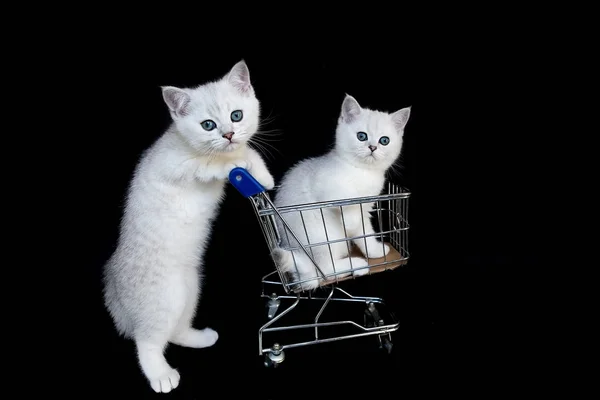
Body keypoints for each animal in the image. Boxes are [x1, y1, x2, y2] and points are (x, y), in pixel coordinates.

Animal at [102, 60, 274, 394]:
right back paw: (160, 375)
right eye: (207, 125)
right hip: (163, 298)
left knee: (175, 330)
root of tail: (114, 282)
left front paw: (262, 176)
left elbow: (248, 153)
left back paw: (202, 337)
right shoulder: (172, 167)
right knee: (147, 341)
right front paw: (227, 164)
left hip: (190, 289)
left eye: (236, 115)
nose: (229, 134)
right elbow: (206, 164)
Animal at [270, 95, 408, 292]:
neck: (362, 172)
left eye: (384, 141)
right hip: (322, 235)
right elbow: (345, 199)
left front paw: (375, 251)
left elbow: (365, 234)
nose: (372, 147)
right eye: (361, 136)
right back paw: (357, 264)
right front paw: (349, 221)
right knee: (326, 270)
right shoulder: (325, 186)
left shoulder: (365, 208)